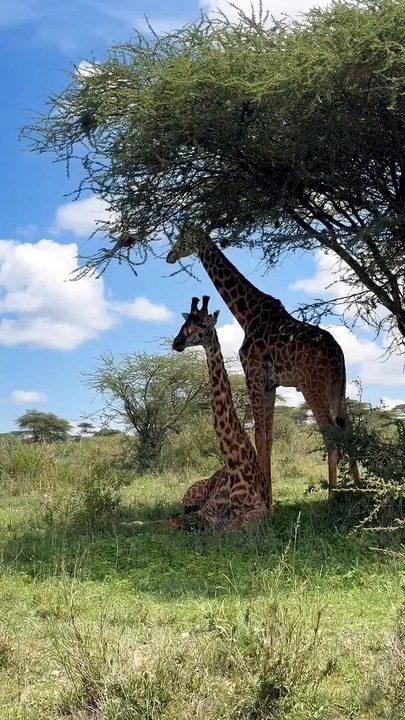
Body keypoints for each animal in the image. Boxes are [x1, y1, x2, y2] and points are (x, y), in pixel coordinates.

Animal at [166, 226, 360, 503]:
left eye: (183, 238)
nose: (170, 256)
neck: (246, 314)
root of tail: (339, 354)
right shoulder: (271, 385)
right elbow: (268, 439)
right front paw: (267, 493)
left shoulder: (254, 375)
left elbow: (259, 437)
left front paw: (264, 496)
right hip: (338, 388)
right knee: (348, 430)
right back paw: (359, 488)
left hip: (313, 387)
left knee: (330, 434)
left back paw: (333, 496)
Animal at [170, 295, 269, 530]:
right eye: (184, 323)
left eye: (203, 324)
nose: (177, 342)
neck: (233, 466)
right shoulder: (206, 513)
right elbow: (172, 522)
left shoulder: (261, 511)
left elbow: (234, 527)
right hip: (191, 497)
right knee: (176, 514)